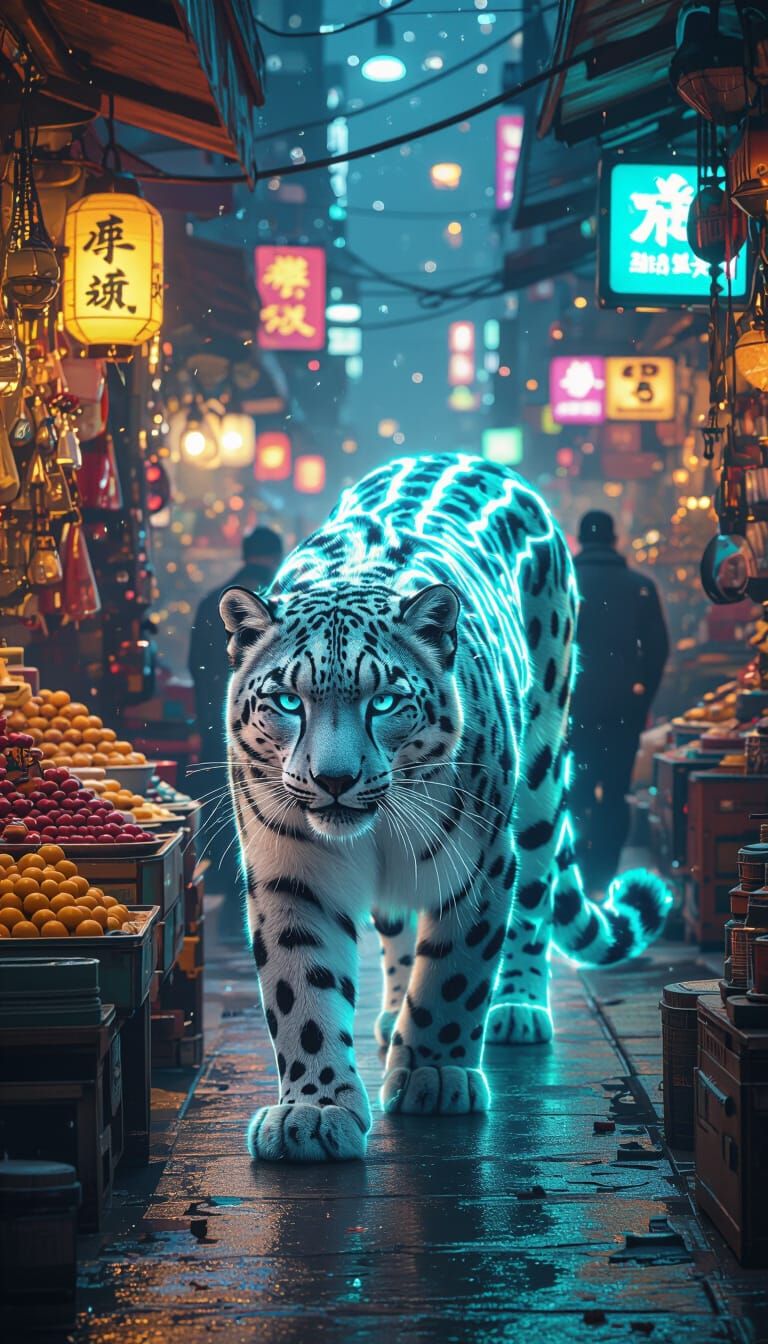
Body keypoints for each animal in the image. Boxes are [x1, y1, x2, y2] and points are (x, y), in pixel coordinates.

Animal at [219, 453, 670, 1162]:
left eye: (384, 701)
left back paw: (517, 1010)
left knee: (535, 900)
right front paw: (314, 1110)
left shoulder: (478, 860)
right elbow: (301, 990)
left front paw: (434, 1075)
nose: (334, 779)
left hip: (541, 778)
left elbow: (456, 973)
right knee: (397, 924)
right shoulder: (289, 868)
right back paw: (389, 1012)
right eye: (288, 702)